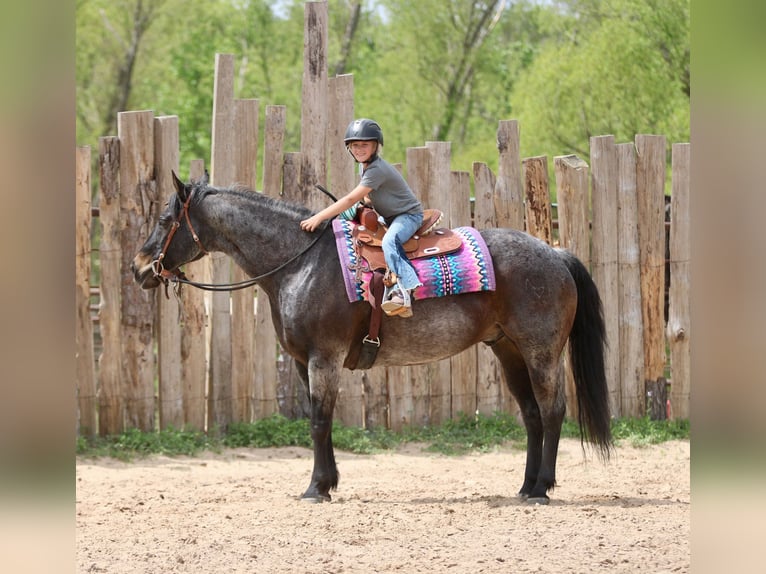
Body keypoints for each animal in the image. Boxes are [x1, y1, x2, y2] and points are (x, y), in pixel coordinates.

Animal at [132, 172, 612, 504]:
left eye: (165, 218)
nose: (138, 268)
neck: (300, 263)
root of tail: (555, 253)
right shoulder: (306, 362)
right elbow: (320, 420)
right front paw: (327, 482)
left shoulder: (324, 358)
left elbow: (319, 420)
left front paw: (316, 487)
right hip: (508, 350)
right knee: (531, 415)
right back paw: (526, 485)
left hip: (540, 351)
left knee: (551, 410)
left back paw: (542, 487)